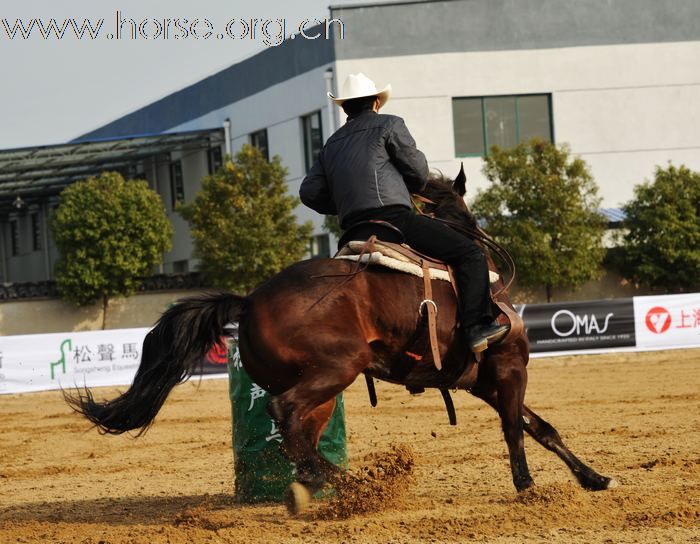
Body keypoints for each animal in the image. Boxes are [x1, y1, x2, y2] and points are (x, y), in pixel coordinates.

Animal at [64, 170, 612, 516]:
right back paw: (358, 485)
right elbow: (518, 429)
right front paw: (529, 487)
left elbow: (542, 428)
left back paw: (319, 488)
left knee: (299, 436)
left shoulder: (481, 381)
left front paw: (594, 478)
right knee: (285, 416)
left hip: (323, 389)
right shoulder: (509, 367)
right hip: (335, 371)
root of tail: (249, 301)